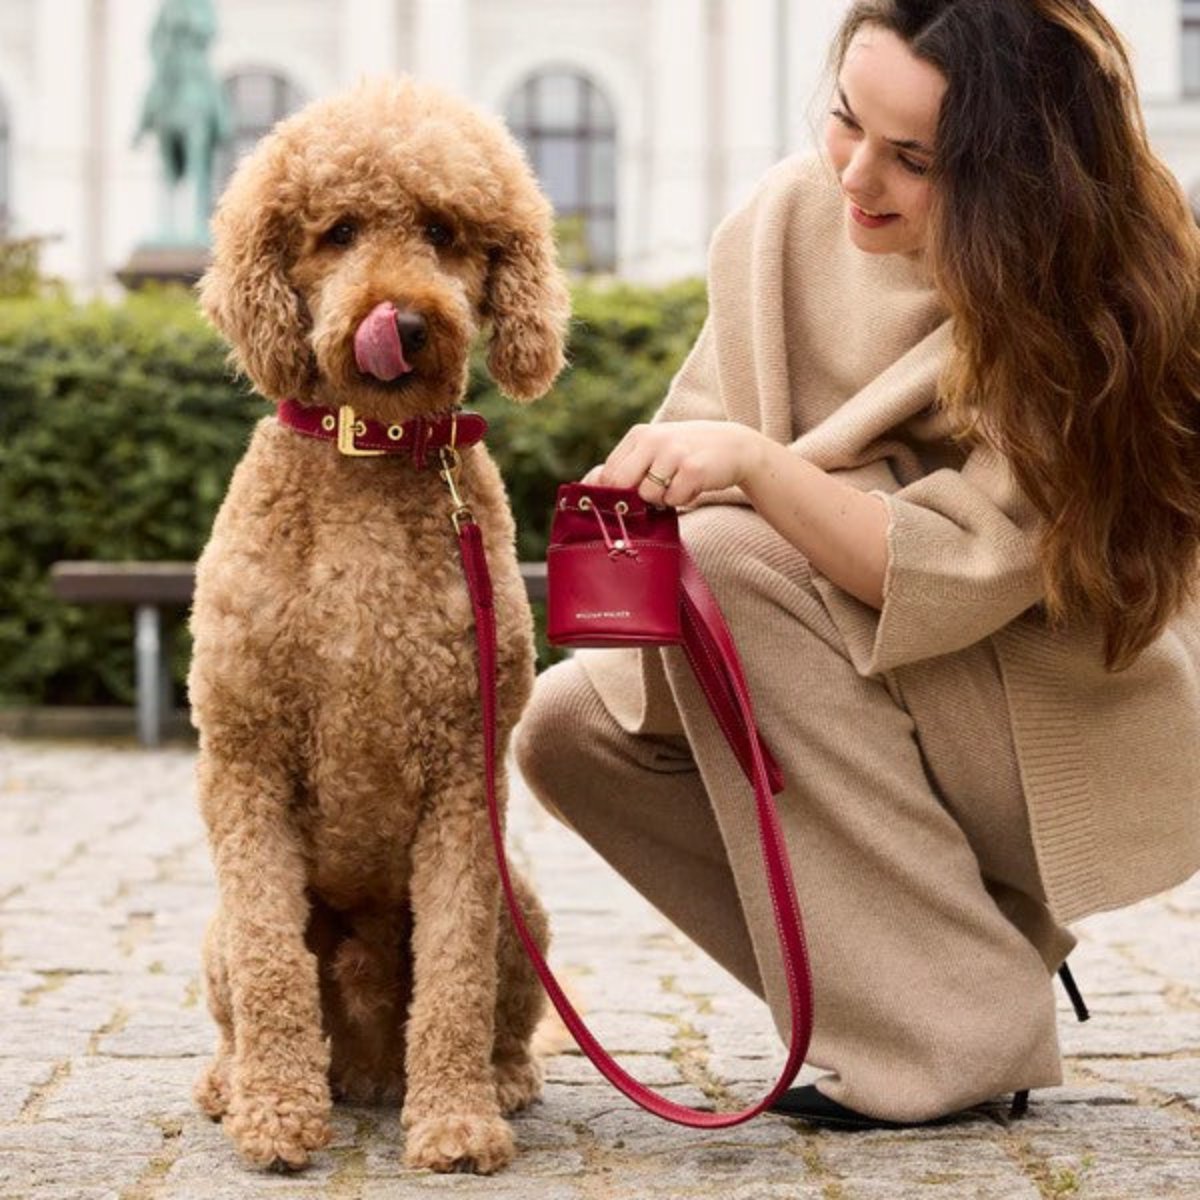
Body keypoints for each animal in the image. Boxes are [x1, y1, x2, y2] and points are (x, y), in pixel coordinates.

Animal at [190, 79, 571, 1176]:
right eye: (340, 231)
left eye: (444, 231)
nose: (399, 320)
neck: (369, 455)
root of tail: (362, 1059)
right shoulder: (245, 759)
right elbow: (272, 966)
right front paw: (277, 1116)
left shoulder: (462, 776)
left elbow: (450, 970)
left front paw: (453, 1124)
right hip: (213, 932)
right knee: (243, 992)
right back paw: (235, 1081)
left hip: (523, 907)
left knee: (498, 1010)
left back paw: (499, 1079)